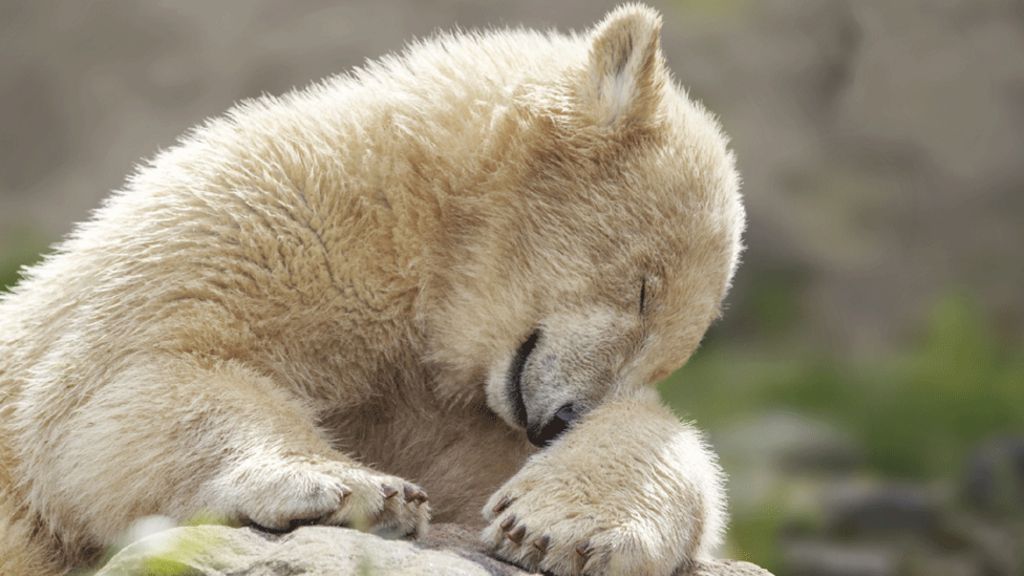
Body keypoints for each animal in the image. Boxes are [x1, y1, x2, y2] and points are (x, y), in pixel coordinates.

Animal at [0, 4, 745, 575]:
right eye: (644, 289)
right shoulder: (252, 227)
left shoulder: (463, 420)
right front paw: (357, 489)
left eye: (668, 356)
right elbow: (129, 387)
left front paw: (554, 528)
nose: (562, 419)